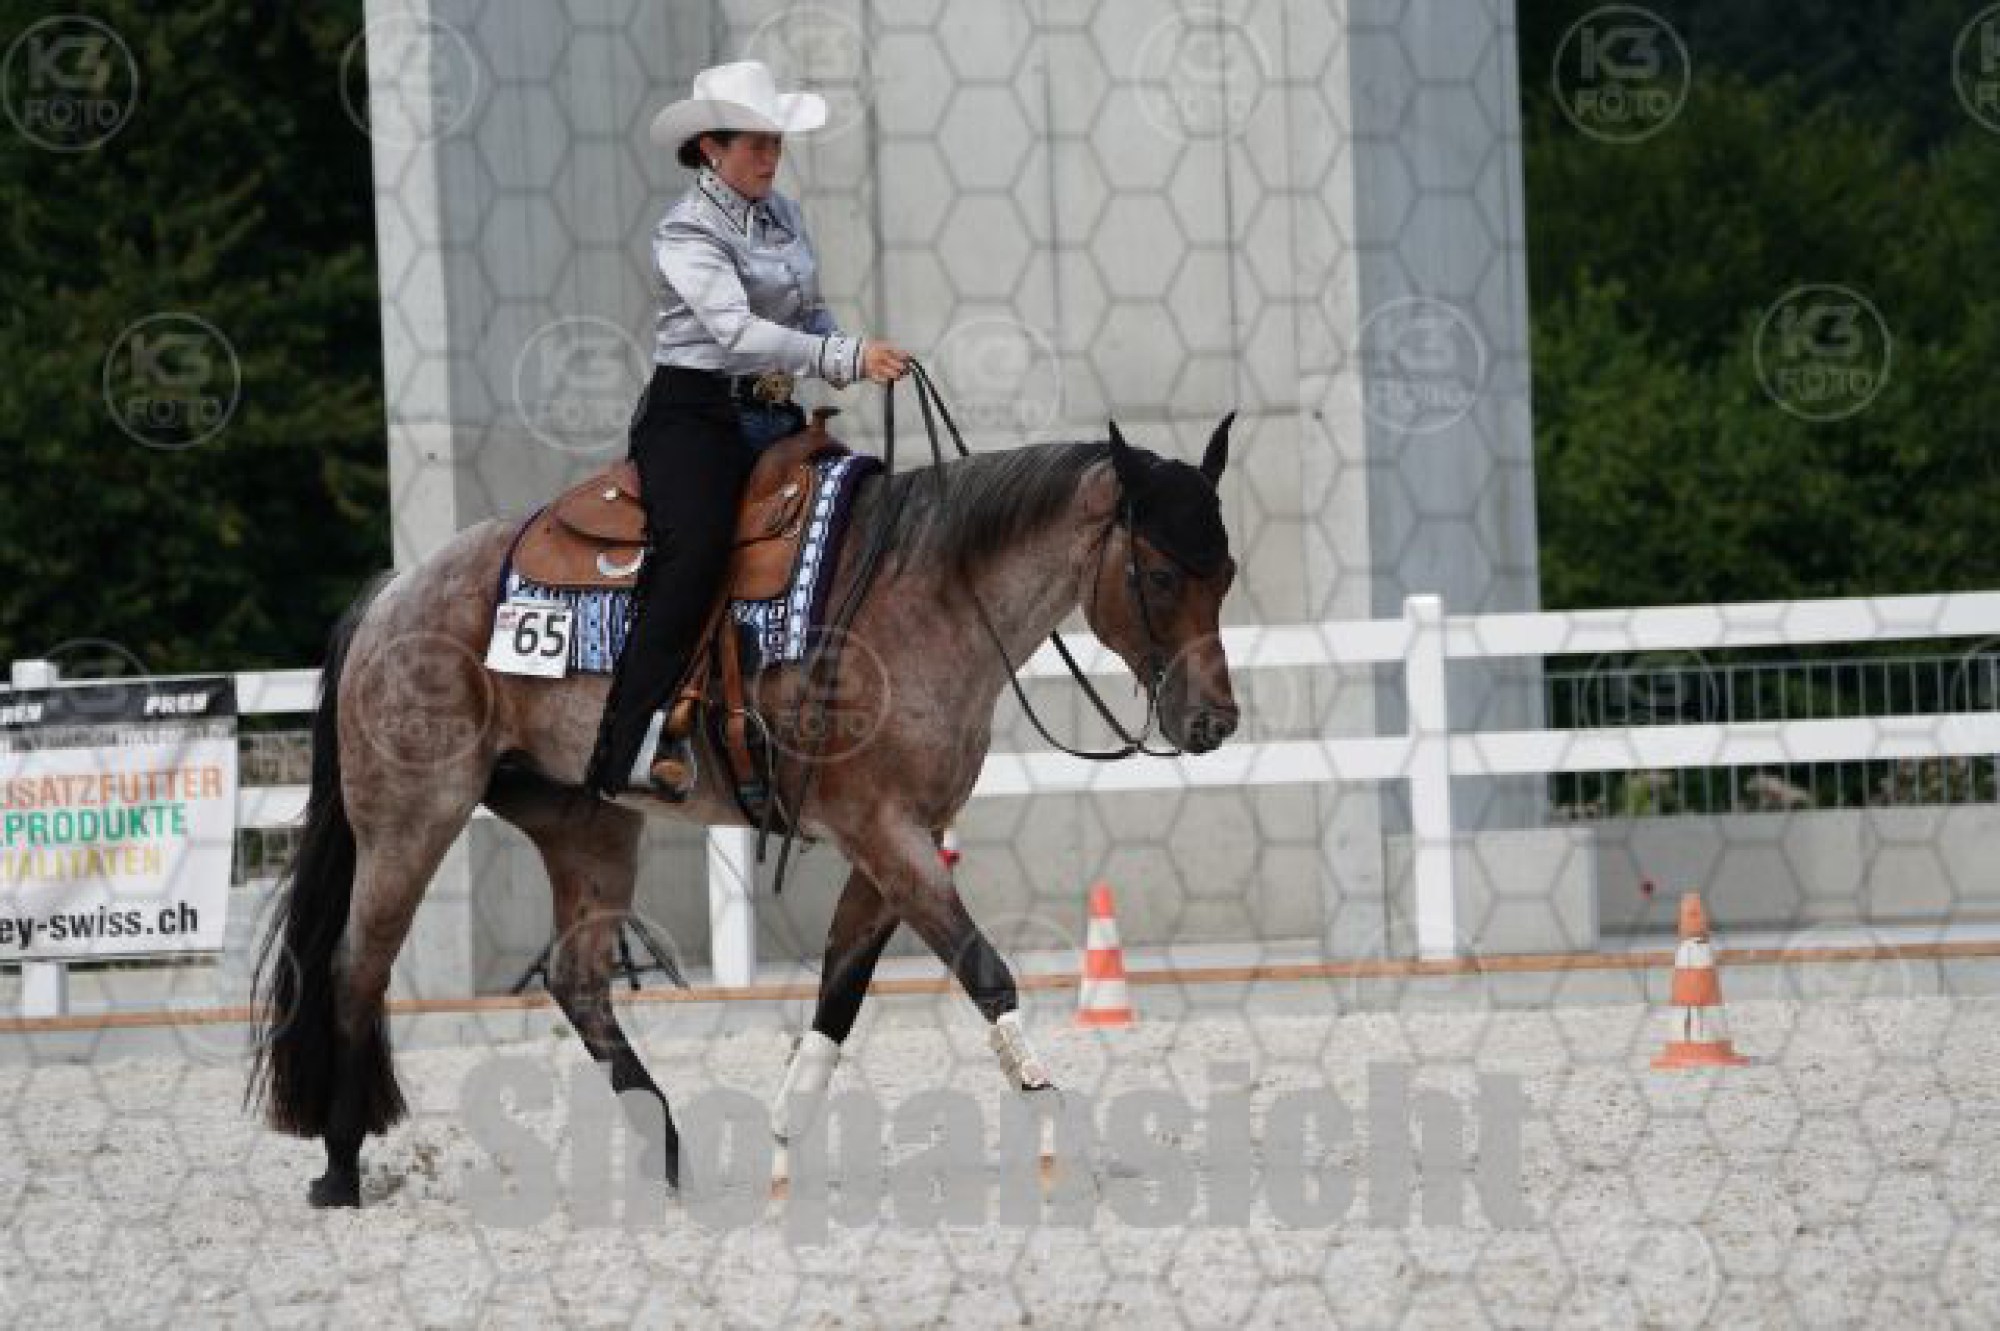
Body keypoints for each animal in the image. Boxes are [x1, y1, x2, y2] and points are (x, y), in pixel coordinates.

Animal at [247, 410, 1242, 1208]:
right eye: (1159, 573)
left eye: (1226, 571)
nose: (1214, 721)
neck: (926, 593)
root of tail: (395, 591)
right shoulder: (887, 831)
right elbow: (985, 971)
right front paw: (1051, 1121)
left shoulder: (900, 840)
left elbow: (841, 991)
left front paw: (784, 1144)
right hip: (411, 816)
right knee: (355, 966)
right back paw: (341, 1170)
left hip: (585, 824)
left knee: (577, 982)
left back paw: (669, 1152)